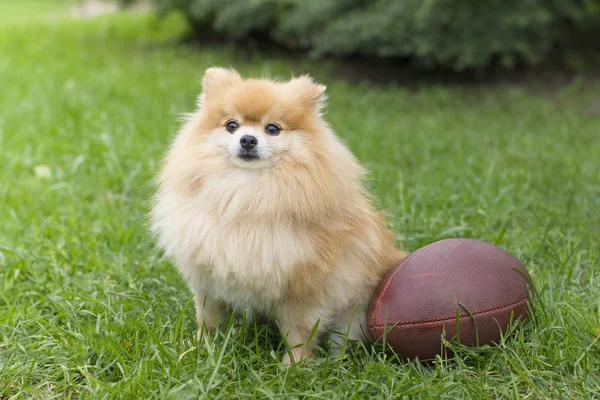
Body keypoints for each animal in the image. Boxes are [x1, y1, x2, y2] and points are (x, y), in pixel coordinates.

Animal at [149, 67, 406, 364]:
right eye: (231, 125)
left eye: (272, 129)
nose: (248, 139)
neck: (245, 193)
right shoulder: (207, 278)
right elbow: (208, 318)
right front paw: (202, 347)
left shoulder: (303, 291)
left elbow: (299, 333)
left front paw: (294, 365)